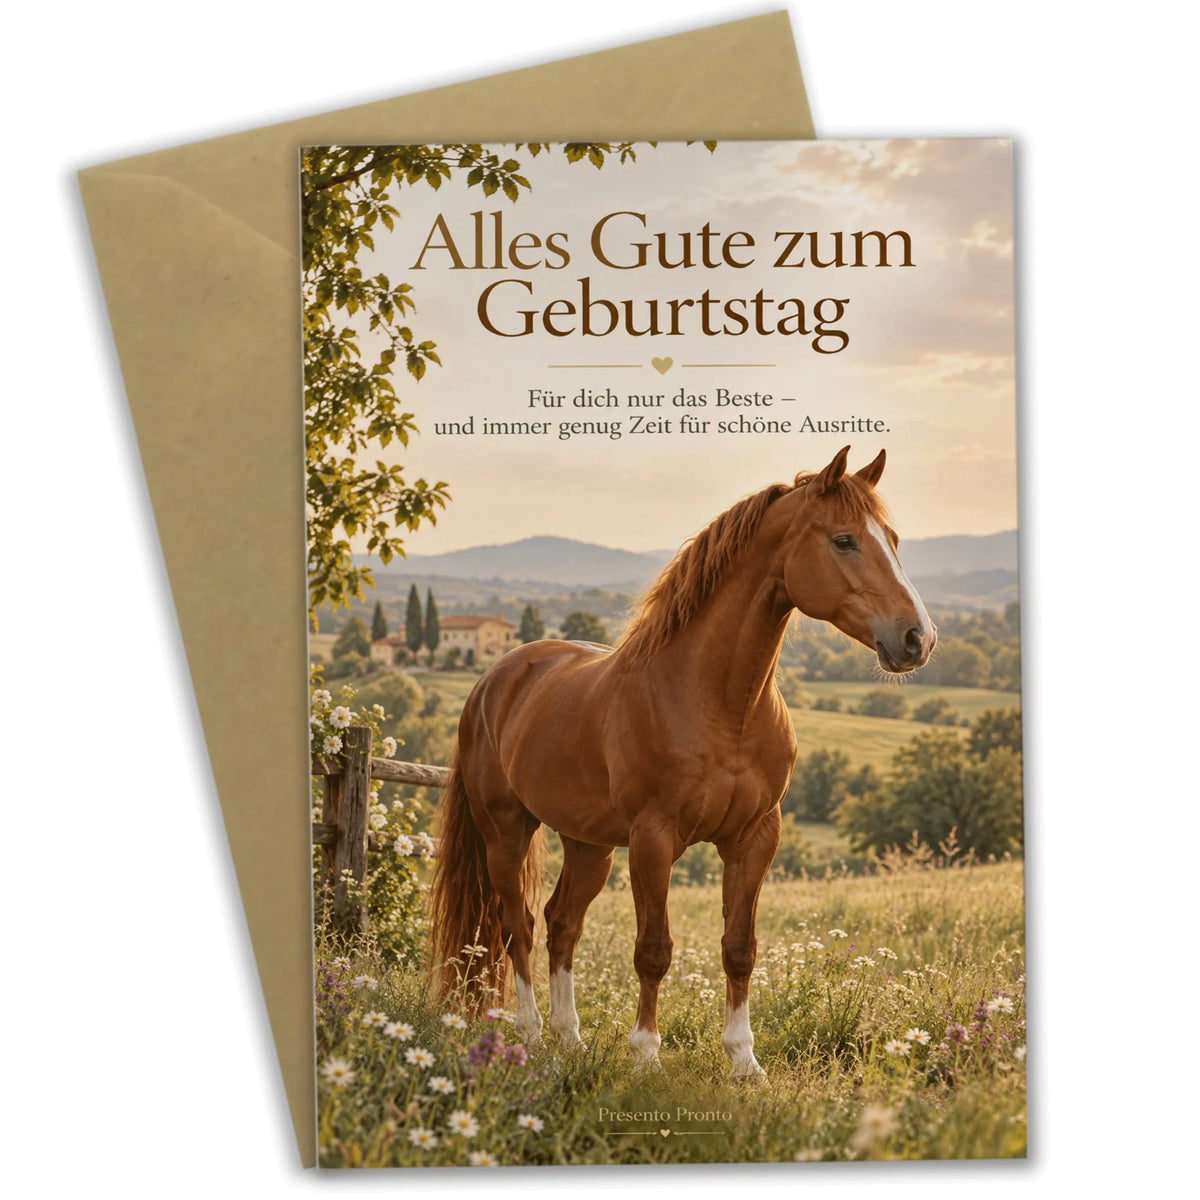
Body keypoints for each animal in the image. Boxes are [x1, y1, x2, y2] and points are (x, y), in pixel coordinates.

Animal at [428, 445, 935, 1078]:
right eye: (844, 540)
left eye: (892, 538)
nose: (918, 638)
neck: (719, 703)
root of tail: (496, 678)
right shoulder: (654, 838)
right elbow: (654, 950)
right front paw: (646, 1055)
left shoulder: (754, 837)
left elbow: (740, 948)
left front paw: (743, 1060)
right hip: (507, 829)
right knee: (516, 926)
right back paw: (534, 1038)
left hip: (588, 844)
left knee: (561, 923)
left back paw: (571, 1038)